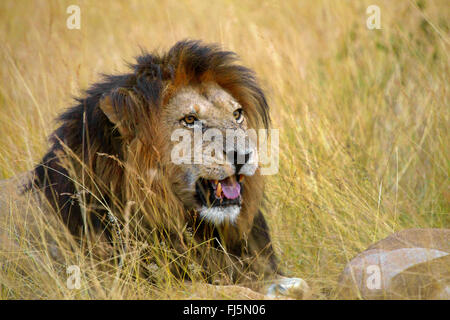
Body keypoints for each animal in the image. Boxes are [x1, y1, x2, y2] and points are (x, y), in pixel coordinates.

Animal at [1, 41, 308, 298]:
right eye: (189, 120)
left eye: (237, 114)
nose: (243, 154)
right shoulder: (133, 285)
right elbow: (230, 291)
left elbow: (296, 282)